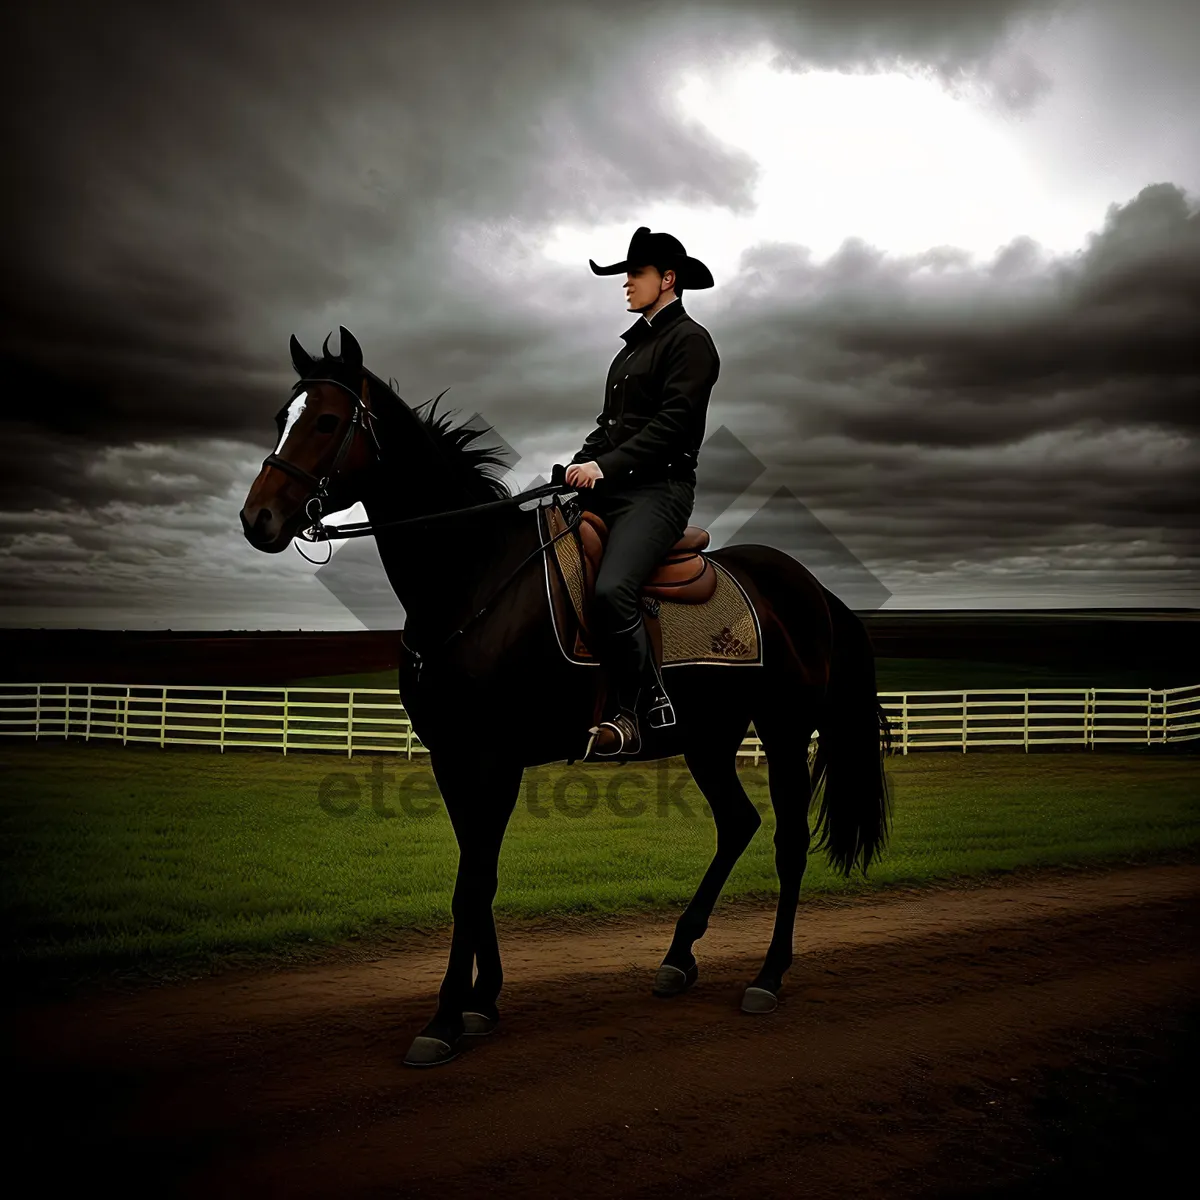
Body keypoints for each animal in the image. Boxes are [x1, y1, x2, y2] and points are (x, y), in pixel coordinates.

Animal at [238, 324, 892, 1065]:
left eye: (325, 421)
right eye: (280, 417)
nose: (257, 518)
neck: (471, 577)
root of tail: (811, 588)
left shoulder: (492, 758)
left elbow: (472, 884)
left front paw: (444, 1018)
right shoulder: (453, 759)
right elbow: (477, 875)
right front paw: (482, 1000)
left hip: (783, 730)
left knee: (786, 842)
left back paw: (769, 976)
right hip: (708, 740)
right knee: (737, 825)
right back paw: (678, 956)